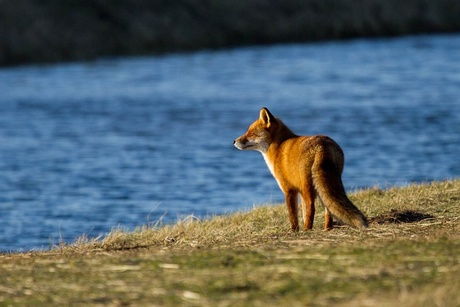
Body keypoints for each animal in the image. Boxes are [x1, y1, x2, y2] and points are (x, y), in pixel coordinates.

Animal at [232, 108, 368, 231]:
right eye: (247, 132)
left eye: (251, 134)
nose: (234, 141)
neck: (278, 147)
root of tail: (322, 146)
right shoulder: (300, 191)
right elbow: (303, 213)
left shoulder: (289, 189)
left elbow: (293, 216)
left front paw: (294, 231)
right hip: (322, 186)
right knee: (328, 209)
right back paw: (326, 229)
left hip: (307, 186)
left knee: (312, 206)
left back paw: (308, 230)